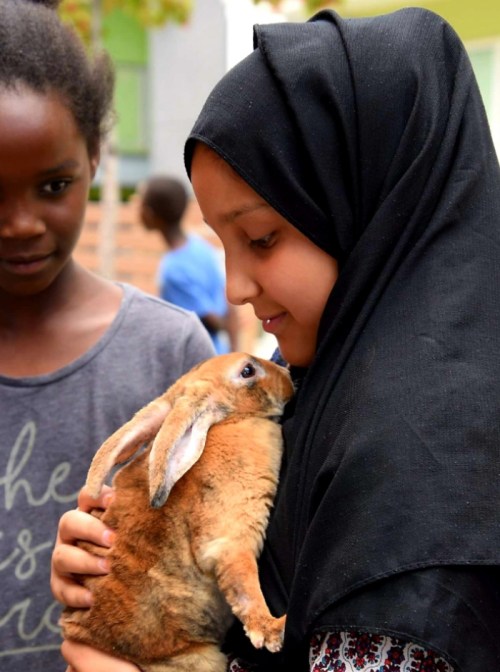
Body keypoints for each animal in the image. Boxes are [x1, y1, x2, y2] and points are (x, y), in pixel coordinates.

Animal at [60, 352, 294, 672]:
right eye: (247, 371)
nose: (288, 375)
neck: (227, 422)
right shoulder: (229, 542)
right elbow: (244, 585)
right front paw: (274, 629)